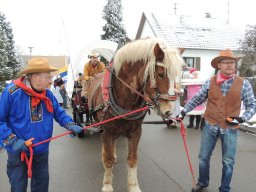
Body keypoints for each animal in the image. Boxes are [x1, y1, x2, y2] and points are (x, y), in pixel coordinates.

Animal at [88, 38, 184, 192]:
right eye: (161, 73)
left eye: (178, 76)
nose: (169, 111)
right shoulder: (107, 131)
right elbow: (108, 158)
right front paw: (107, 185)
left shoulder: (136, 132)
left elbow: (132, 159)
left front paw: (133, 186)